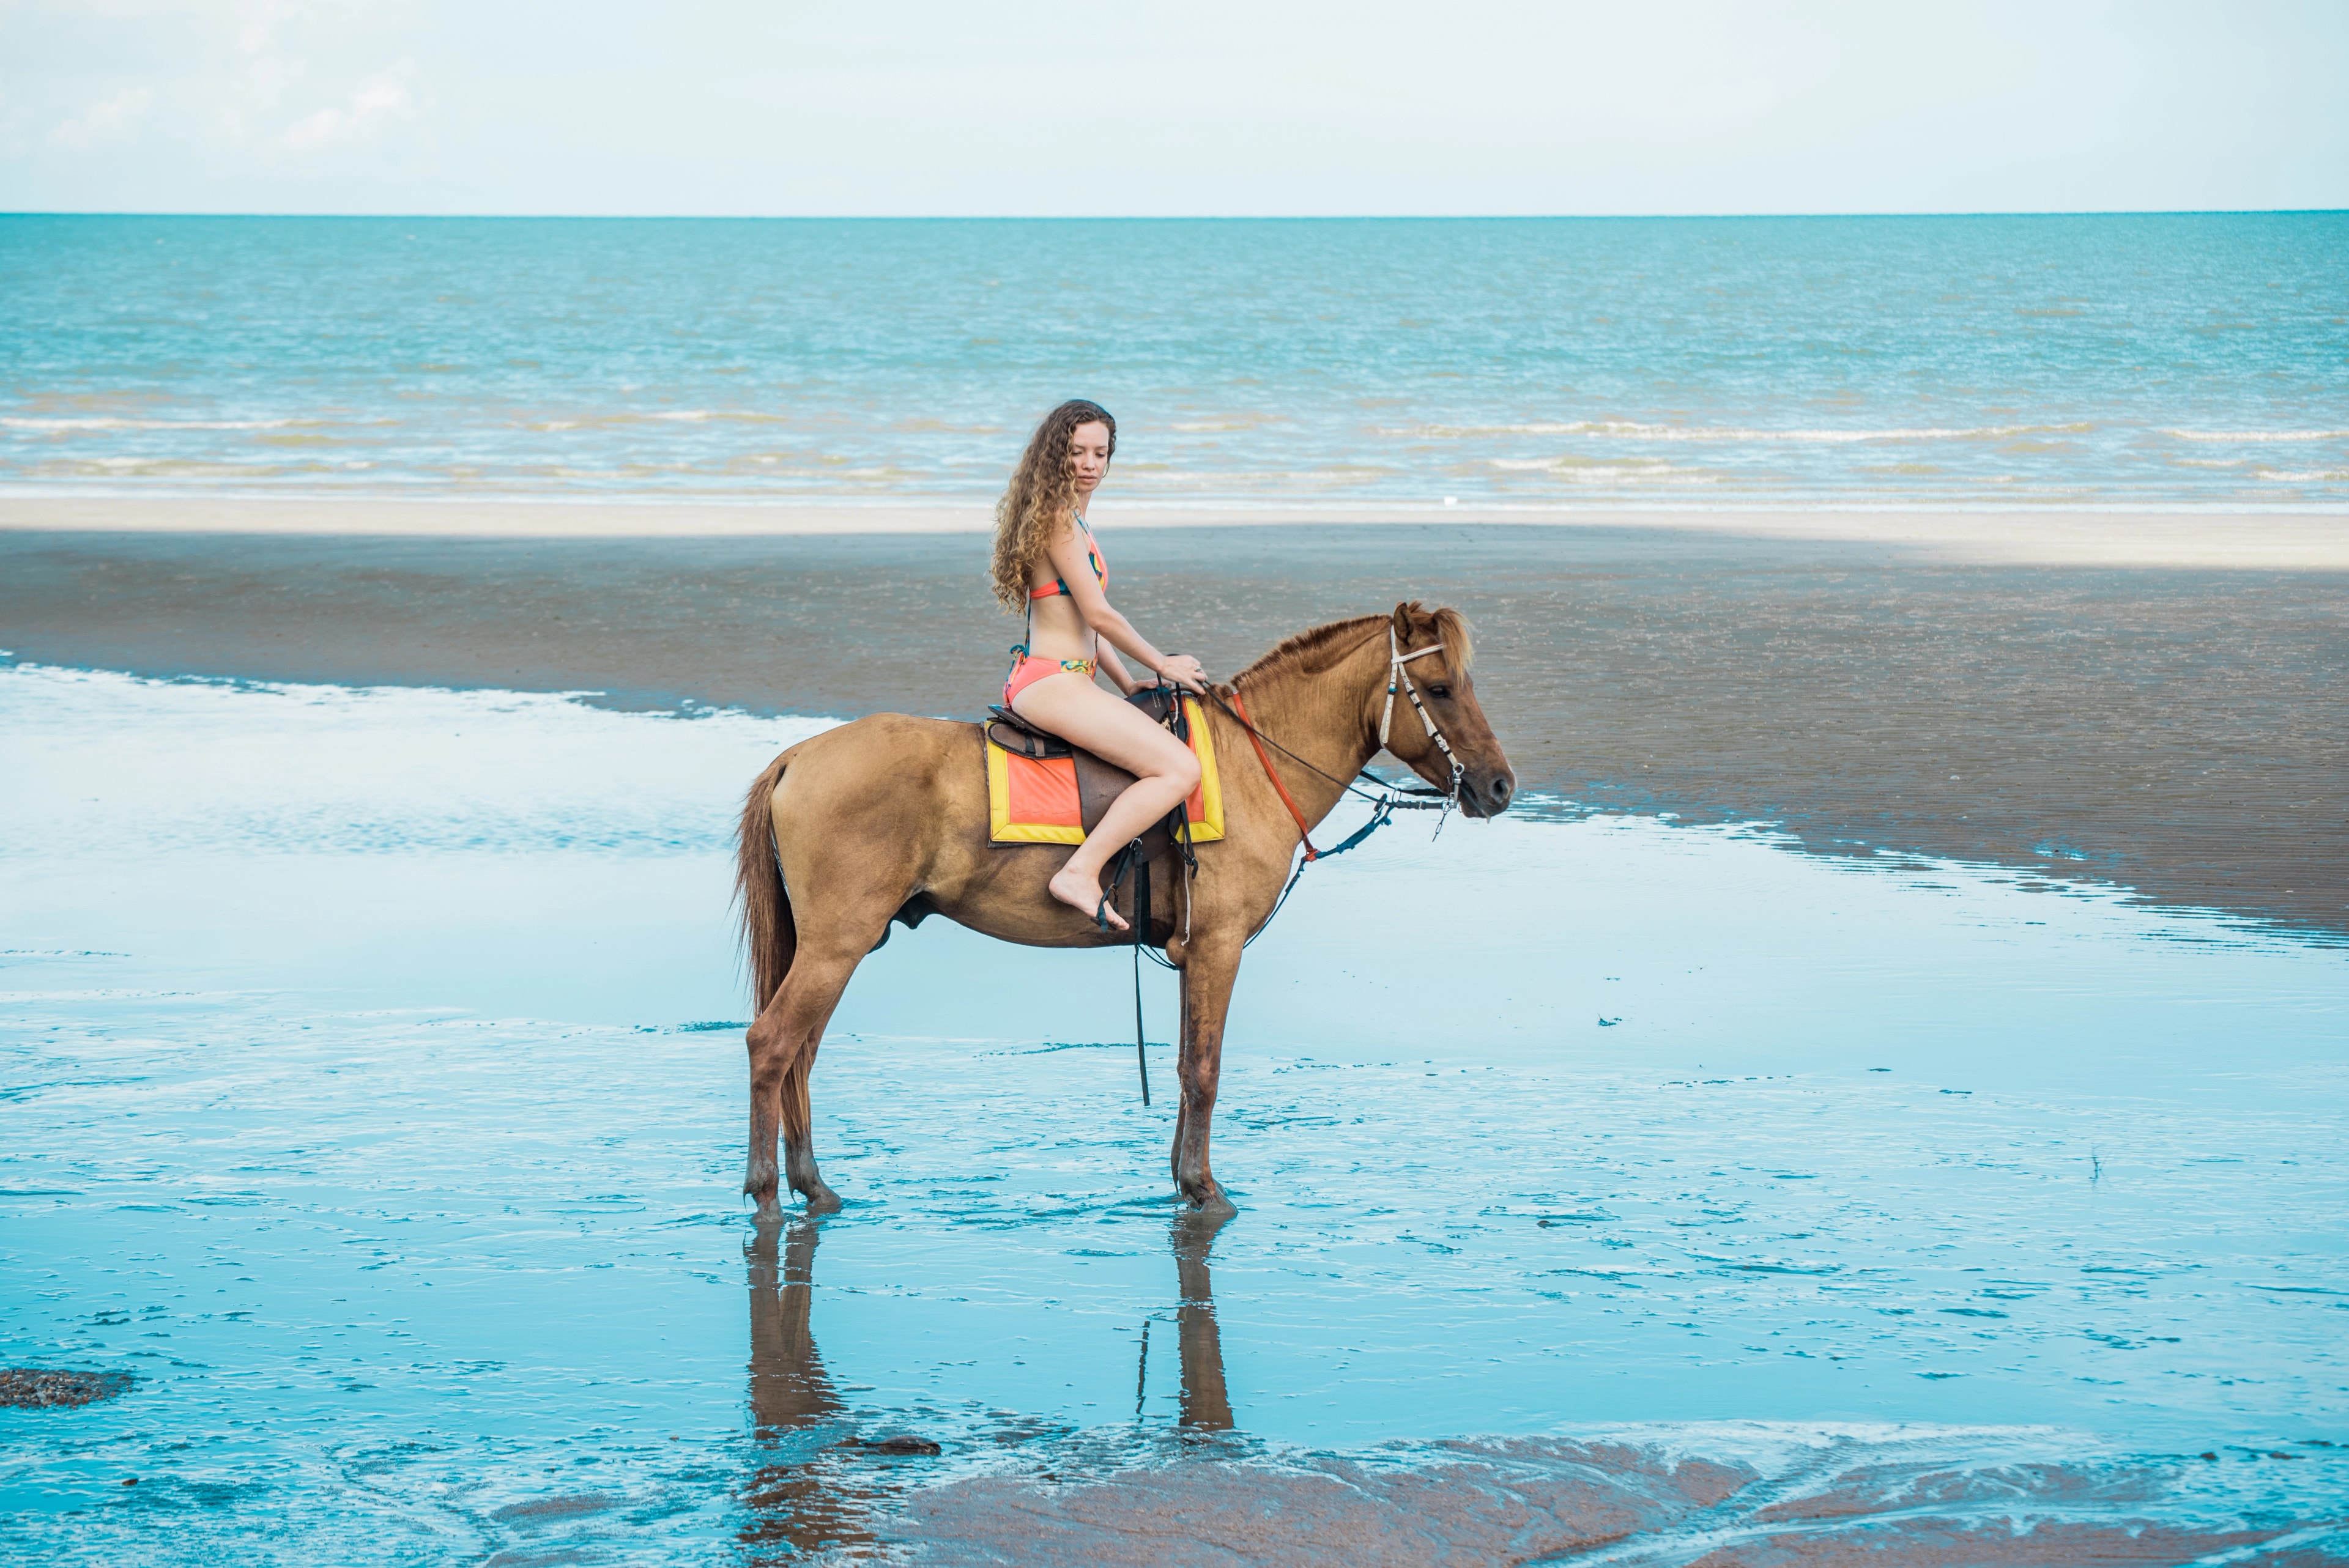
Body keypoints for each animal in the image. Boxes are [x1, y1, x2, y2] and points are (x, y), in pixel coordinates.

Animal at [733, 601, 1516, 1218]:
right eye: (1440, 688)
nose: (1501, 785)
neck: (1249, 764)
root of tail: (799, 755)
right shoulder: (1218, 946)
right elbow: (1205, 1070)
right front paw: (1205, 1188)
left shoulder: (1191, 952)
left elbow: (1184, 1066)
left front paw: (1183, 1179)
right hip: (838, 941)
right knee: (773, 1044)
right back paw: (769, 1191)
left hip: (831, 943)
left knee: (800, 1052)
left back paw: (813, 1185)